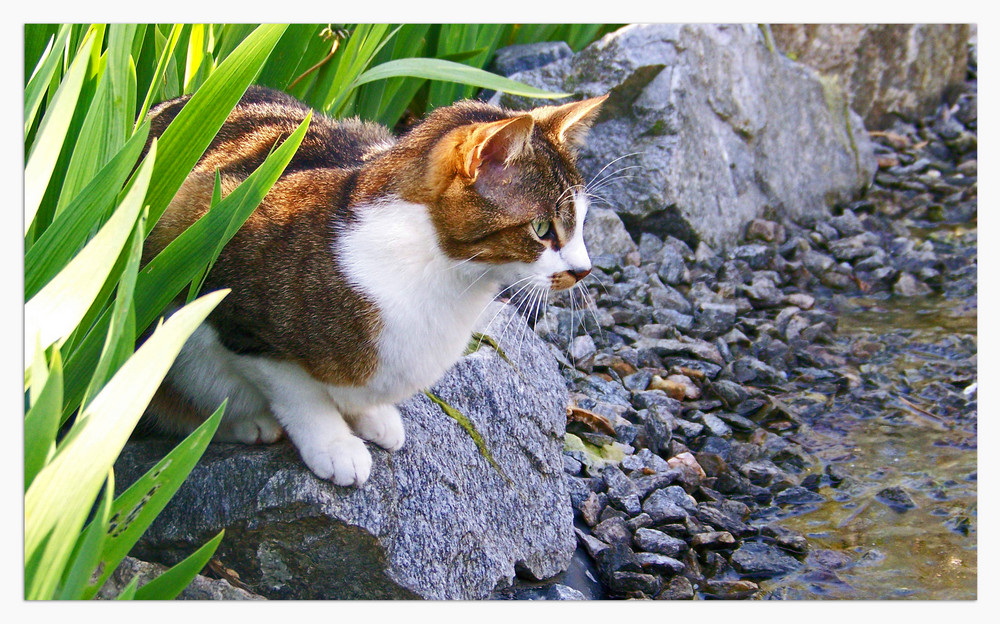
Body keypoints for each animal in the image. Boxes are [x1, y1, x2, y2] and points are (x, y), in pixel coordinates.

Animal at [141, 86, 604, 488]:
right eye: (542, 229)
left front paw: (373, 416)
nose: (584, 270)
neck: (439, 272)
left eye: (583, 222)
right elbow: (296, 390)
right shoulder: (236, 309)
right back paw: (244, 423)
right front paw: (334, 443)